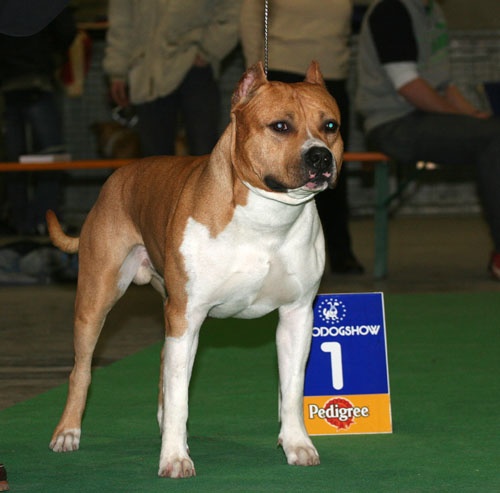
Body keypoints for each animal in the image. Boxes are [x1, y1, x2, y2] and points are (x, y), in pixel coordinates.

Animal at [47, 61, 343, 478]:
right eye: (280, 126)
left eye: (330, 126)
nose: (320, 157)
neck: (266, 218)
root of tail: (119, 175)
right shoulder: (187, 316)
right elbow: (179, 396)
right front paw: (174, 458)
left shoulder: (297, 315)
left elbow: (292, 387)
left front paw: (297, 444)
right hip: (96, 300)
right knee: (83, 369)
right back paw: (68, 432)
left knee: (163, 367)